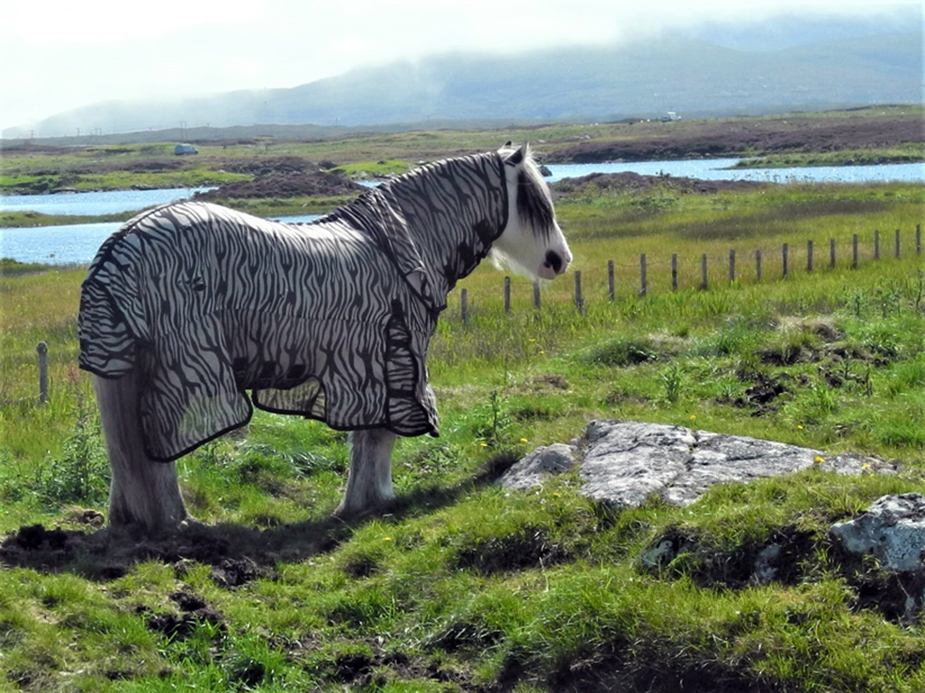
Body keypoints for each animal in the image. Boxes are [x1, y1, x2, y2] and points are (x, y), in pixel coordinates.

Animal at [77, 139, 572, 528]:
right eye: (533, 202)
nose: (560, 260)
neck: (400, 245)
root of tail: (117, 250)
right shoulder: (394, 366)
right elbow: (378, 439)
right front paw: (375, 501)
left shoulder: (372, 371)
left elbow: (366, 440)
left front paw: (363, 502)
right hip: (182, 372)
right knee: (156, 457)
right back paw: (177, 522)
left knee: (133, 461)